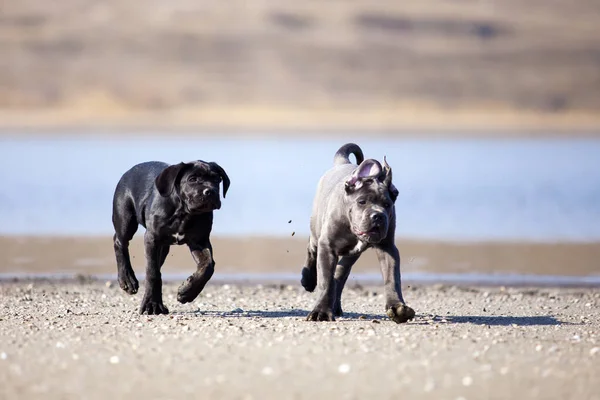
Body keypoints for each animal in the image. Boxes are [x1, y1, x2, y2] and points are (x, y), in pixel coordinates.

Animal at [112, 161, 230, 314]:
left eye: (216, 179)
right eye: (192, 179)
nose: (210, 191)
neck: (183, 213)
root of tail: (130, 170)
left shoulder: (200, 241)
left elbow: (207, 266)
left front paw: (187, 292)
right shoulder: (152, 239)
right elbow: (153, 273)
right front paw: (152, 304)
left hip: (163, 247)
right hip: (126, 220)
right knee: (120, 242)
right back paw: (127, 279)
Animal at [302, 142, 414, 324]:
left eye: (387, 205)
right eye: (362, 201)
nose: (378, 216)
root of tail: (342, 163)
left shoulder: (388, 248)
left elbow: (392, 277)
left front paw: (397, 307)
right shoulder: (327, 246)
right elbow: (326, 281)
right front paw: (321, 312)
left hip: (352, 254)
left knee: (340, 273)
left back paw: (336, 305)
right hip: (316, 230)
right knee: (312, 249)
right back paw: (308, 279)